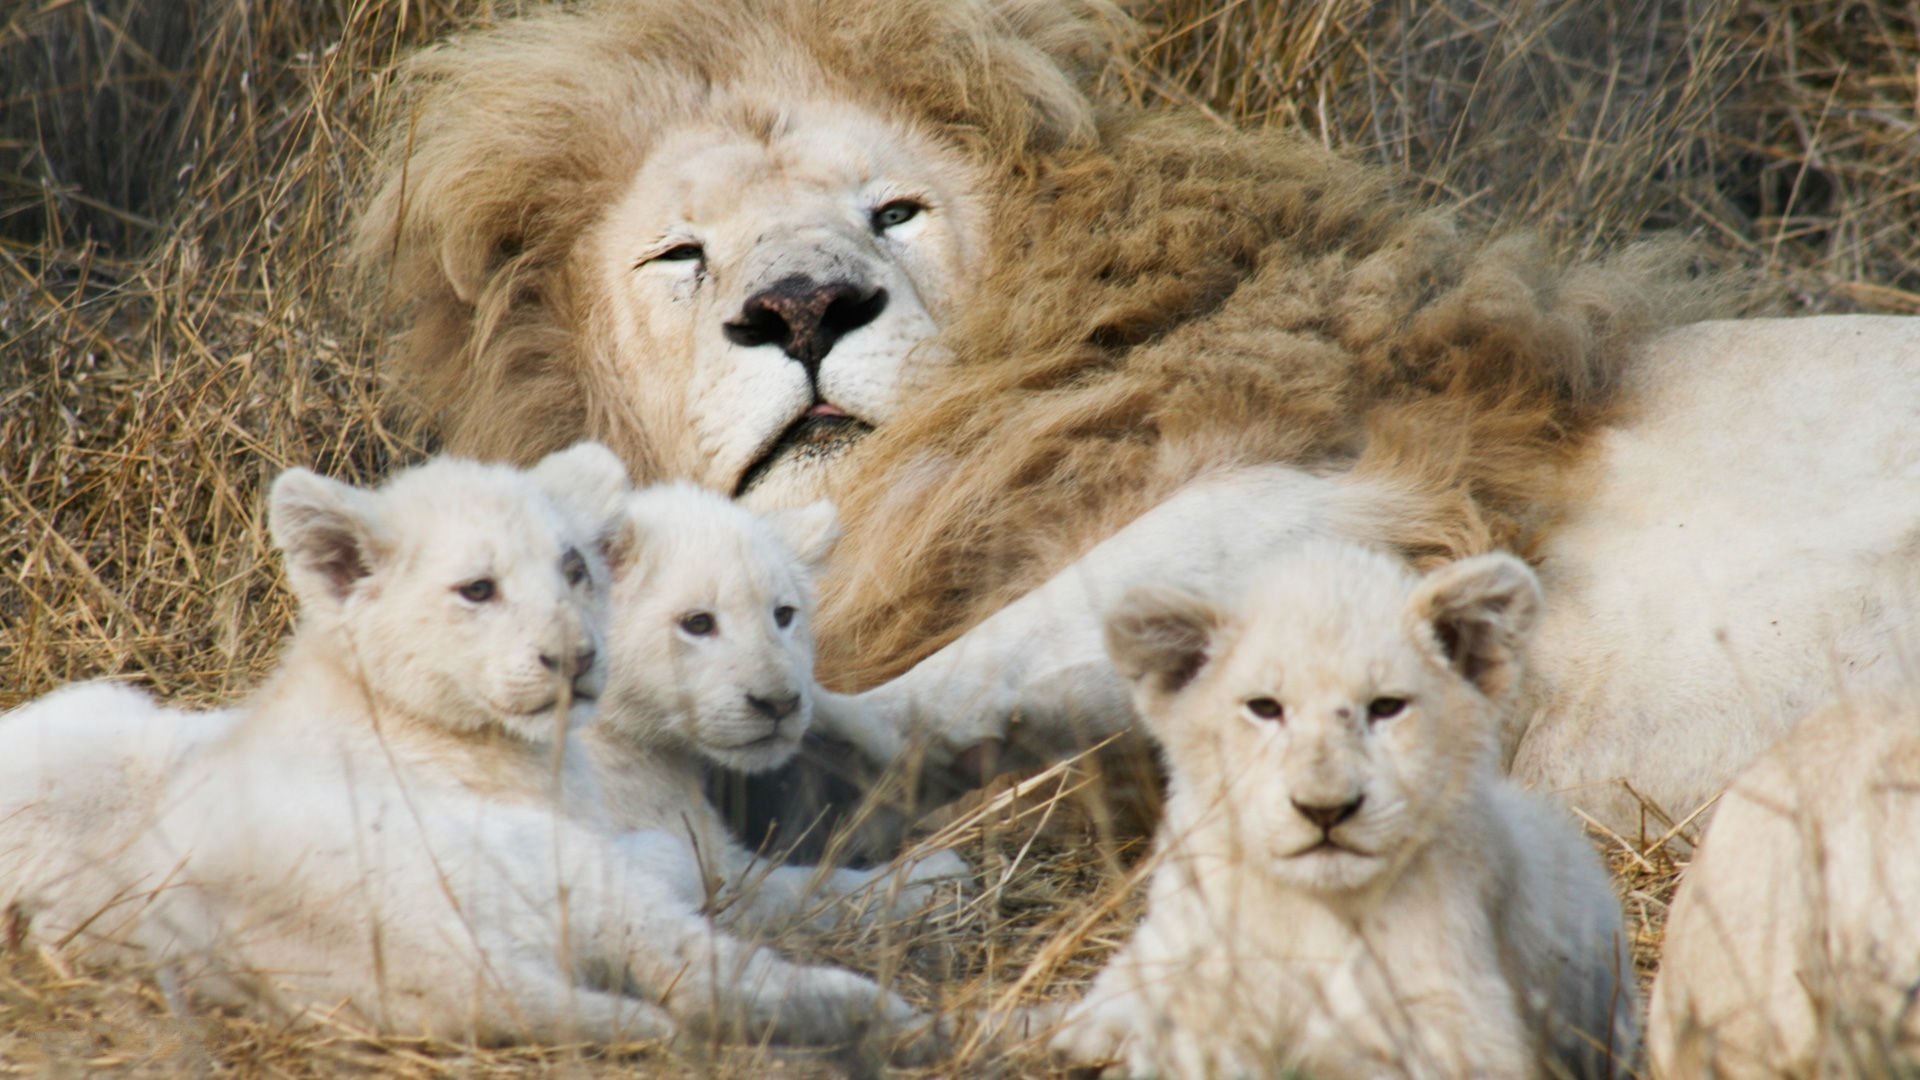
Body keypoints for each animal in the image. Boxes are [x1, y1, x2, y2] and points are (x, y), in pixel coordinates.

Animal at [0, 445, 929, 1053]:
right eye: (697, 622)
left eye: (785, 614)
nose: (780, 704)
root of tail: (442, 968)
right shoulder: (638, 835)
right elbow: (772, 883)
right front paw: (928, 877)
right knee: (699, 969)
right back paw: (891, 1017)